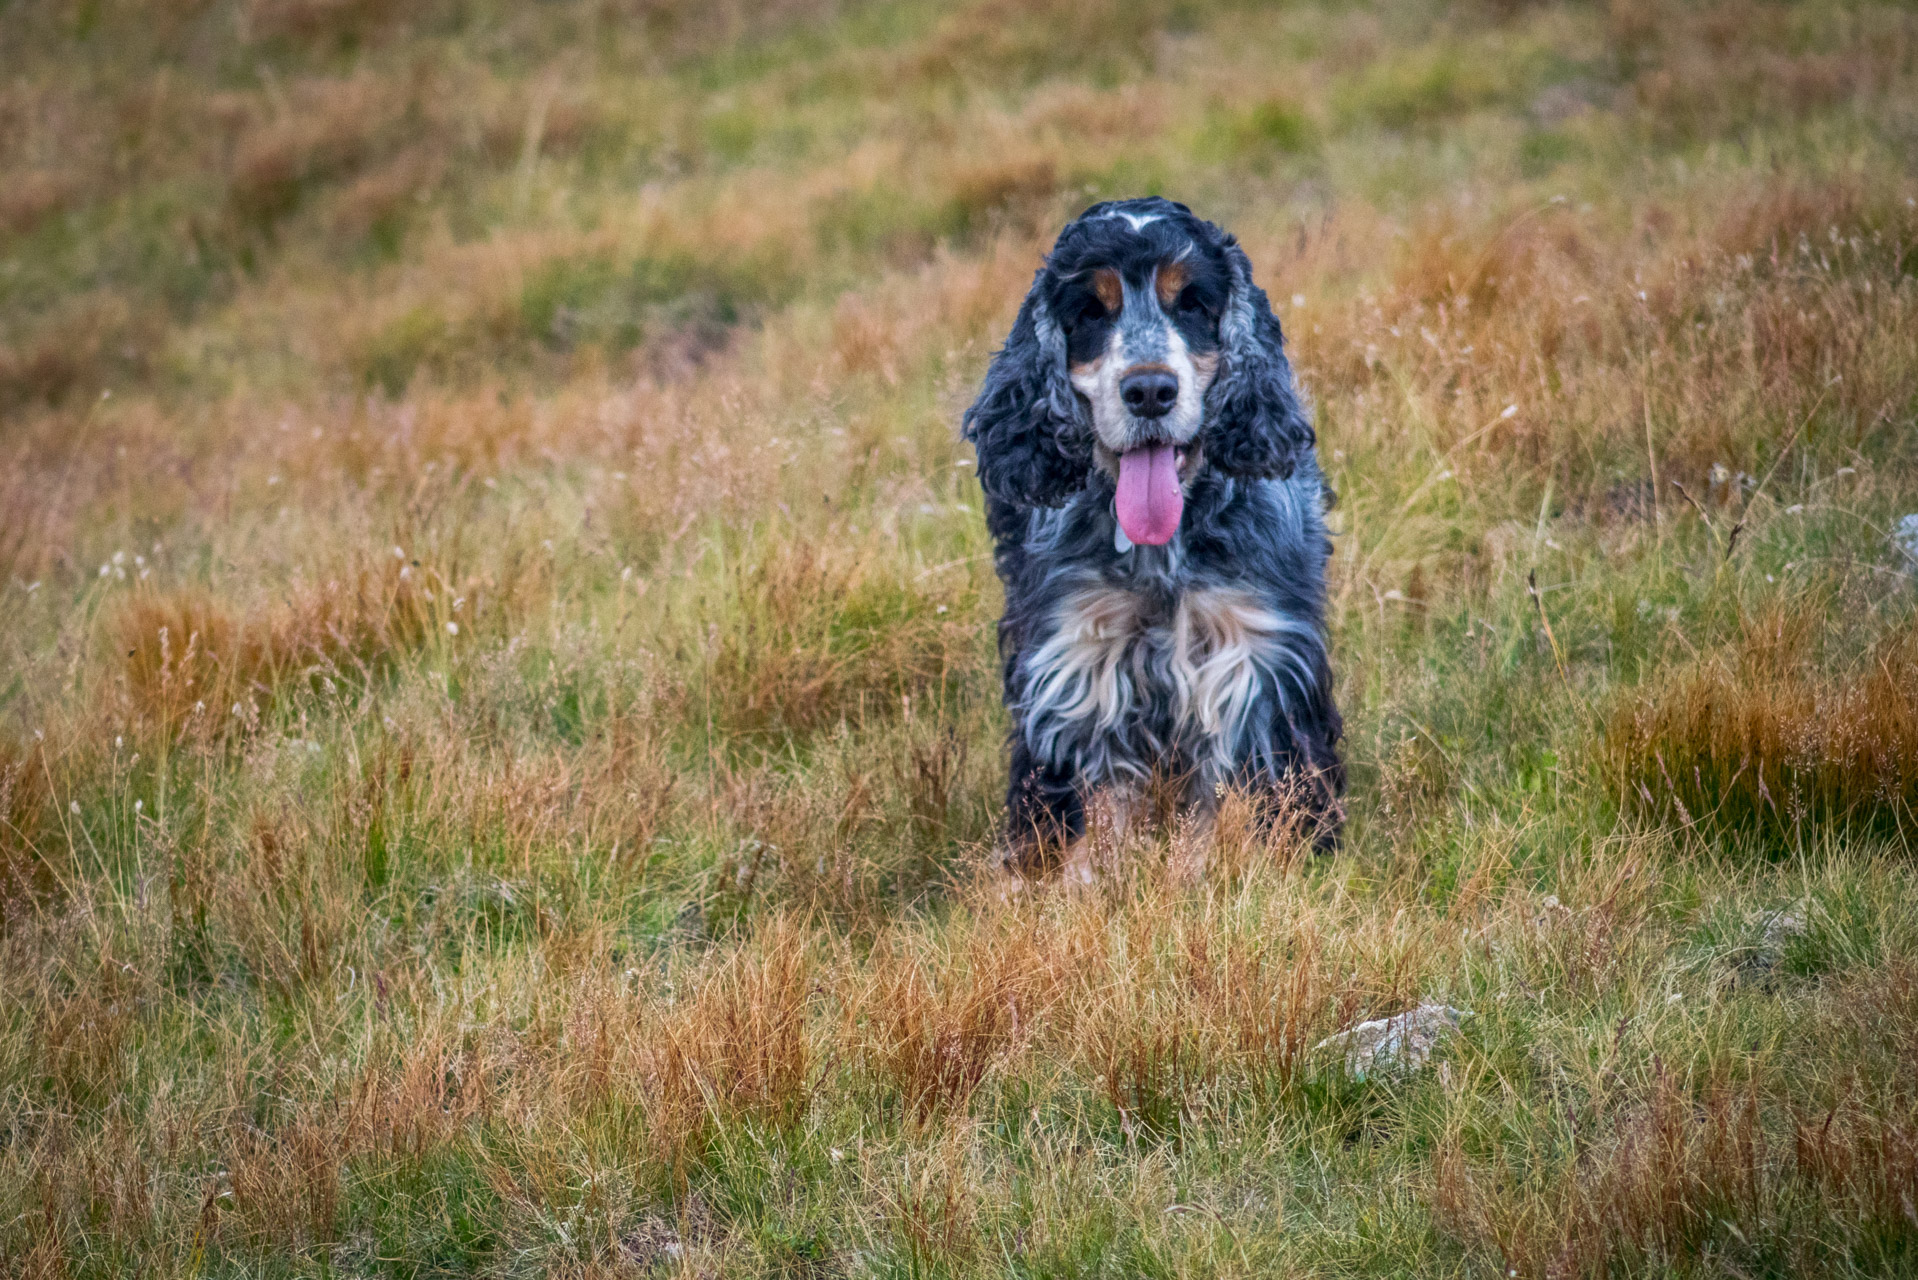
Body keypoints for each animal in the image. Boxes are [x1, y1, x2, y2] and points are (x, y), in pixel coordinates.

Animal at [959, 197, 1350, 882]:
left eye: (1191, 302)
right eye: (1091, 311)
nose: (1148, 390)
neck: (1160, 554)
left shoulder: (1251, 655)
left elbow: (1228, 793)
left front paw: (1213, 876)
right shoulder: (1079, 655)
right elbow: (1098, 802)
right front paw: (1083, 887)